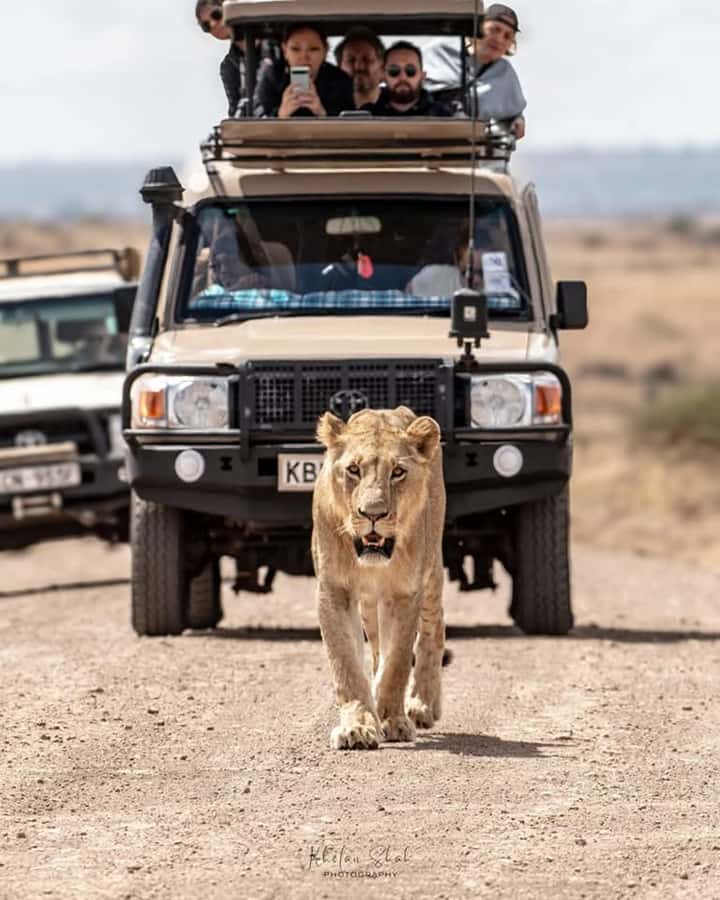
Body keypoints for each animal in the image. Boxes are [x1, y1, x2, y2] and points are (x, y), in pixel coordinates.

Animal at [312, 406, 446, 750]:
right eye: (354, 470)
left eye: (397, 472)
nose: (373, 514)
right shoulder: (334, 590)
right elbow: (346, 662)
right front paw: (358, 726)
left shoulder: (404, 592)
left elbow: (396, 663)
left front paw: (393, 720)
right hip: (371, 607)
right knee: (374, 651)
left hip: (430, 572)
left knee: (434, 627)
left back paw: (423, 704)